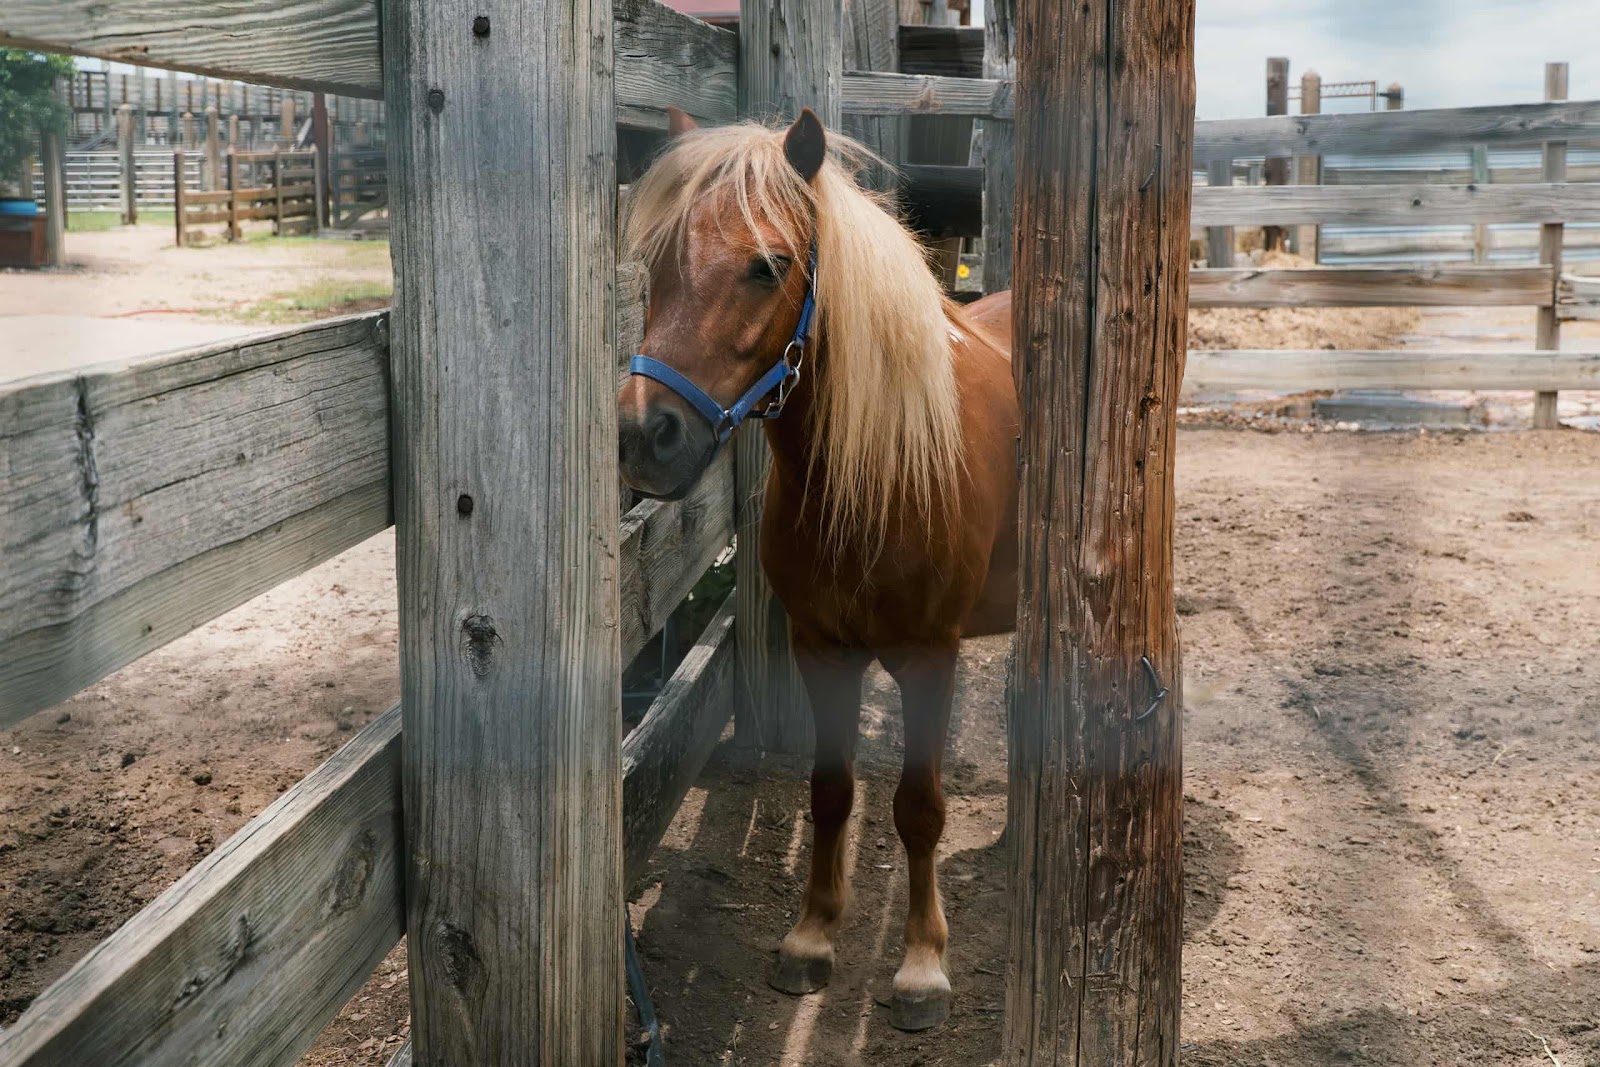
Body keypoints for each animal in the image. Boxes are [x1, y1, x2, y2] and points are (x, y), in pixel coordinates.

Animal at [616, 106, 1019, 1032]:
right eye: (653, 263)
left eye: (767, 266)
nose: (645, 435)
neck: (877, 475)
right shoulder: (819, 650)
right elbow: (831, 791)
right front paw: (811, 935)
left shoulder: (931, 660)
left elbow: (918, 808)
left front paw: (922, 964)